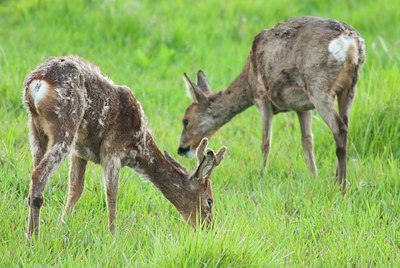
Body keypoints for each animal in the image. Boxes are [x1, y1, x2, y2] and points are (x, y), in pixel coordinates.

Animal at [23, 55, 227, 239]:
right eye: (210, 200)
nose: (209, 229)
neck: (139, 148)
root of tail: (38, 82)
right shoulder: (112, 150)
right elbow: (112, 194)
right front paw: (113, 237)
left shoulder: (80, 151)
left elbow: (75, 189)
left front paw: (61, 226)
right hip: (66, 125)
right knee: (39, 175)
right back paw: (33, 236)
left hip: (36, 127)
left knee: (35, 172)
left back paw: (30, 230)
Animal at [177, 16, 364, 193]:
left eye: (185, 120)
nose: (181, 149)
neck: (249, 80)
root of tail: (351, 42)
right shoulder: (302, 107)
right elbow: (307, 141)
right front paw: (314, 177)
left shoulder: (262, 98)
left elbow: (265, 143)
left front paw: (261, 177)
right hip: (349, 88)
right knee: (345, 126)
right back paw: (336, 180)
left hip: (318, 86)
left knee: (339, 129)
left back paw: (341, 187)